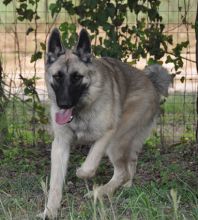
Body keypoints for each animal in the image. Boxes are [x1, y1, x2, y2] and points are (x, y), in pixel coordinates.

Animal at [39, 27, 172, 218]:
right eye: (57, 76)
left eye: (77, 77)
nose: (63, 104)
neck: (81, 109)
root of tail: (151, 82)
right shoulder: (60, 145)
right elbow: (55, 185)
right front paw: (50, 211)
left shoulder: (107, 134)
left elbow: (88, 166)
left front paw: (81, 172)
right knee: (129, 167)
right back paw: (123, 188)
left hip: (116, 141)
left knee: (123, 171)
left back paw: (101, 191)